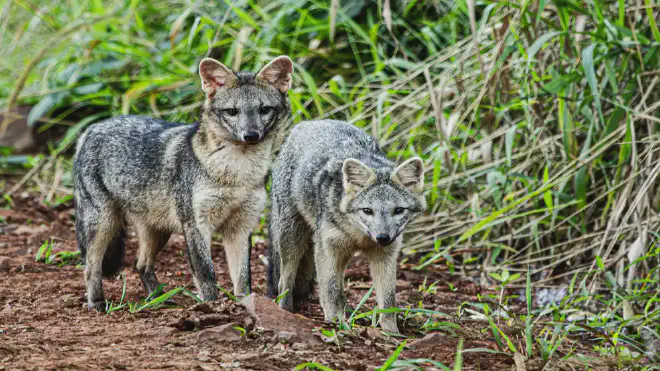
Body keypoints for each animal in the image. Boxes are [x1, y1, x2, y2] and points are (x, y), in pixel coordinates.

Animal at [73, 55, 292, 310]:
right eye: (232, 111)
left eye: (264, 109)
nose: (250, 135)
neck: (236, 175)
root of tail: (92, 128)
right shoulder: (196, 225)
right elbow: (206, 274)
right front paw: (211, 307)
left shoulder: (240, 227)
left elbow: (243, 280)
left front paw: (245, 307)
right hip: (104, 225)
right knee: (90, 267)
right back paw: (97, 303)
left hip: (158, 232)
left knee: (140, 265)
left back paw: (159, 300)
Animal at [268, 120, 428, 332]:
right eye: (367, 211)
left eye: (398, 210)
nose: (382, 237)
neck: (359, 237)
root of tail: (308, 123)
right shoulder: (328, 250)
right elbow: (331, 290)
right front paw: (335, 323)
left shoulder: (385, 256)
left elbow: (388, 299)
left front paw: (391, 332)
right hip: (293, 241)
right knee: (284, 282)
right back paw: (285, 310)